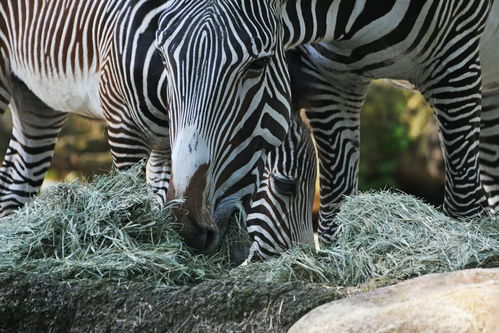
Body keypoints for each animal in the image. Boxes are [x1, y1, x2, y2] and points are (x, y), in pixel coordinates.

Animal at [0, 0, 316, 256]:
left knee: (16, 177)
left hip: (38, 98)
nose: (191, 231)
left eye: (258, 64)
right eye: (285, 185)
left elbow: (162, 197)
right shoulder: (124, 127)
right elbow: (134, 200)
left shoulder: (167, 147)